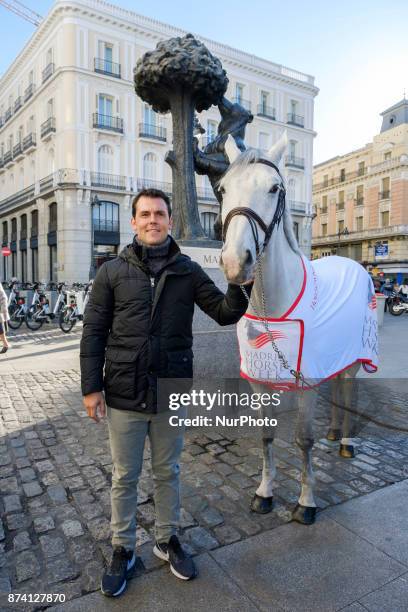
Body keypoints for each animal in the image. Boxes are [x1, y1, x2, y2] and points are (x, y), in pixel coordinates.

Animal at [220, 131, 380, 524]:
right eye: (222, 188)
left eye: (275, 187)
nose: (235, 262)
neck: (272, 305)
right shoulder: (260, 381)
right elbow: (266, 436)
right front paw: (264, 493)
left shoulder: (306, 381)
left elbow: (303, 440)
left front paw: (306, 501)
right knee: (337, 388)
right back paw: (334, 432)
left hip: (356, 357)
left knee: (349, 389)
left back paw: (347, 442)